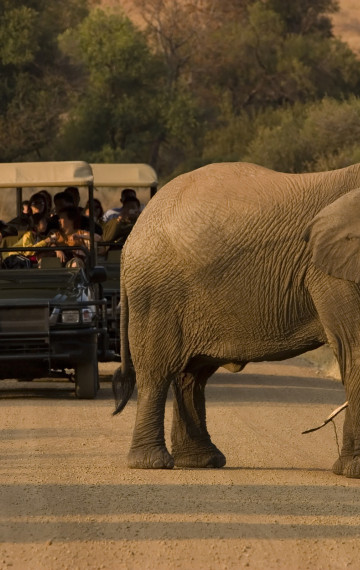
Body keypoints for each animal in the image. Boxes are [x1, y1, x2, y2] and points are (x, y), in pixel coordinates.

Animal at [112, 161, 360, 474]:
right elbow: (355, 348)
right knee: (157, 372)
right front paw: (354, 471)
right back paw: (153, 463)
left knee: (192, 375)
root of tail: (132, 235)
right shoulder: (331, 271)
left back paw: (201, 461)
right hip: (156, 293)